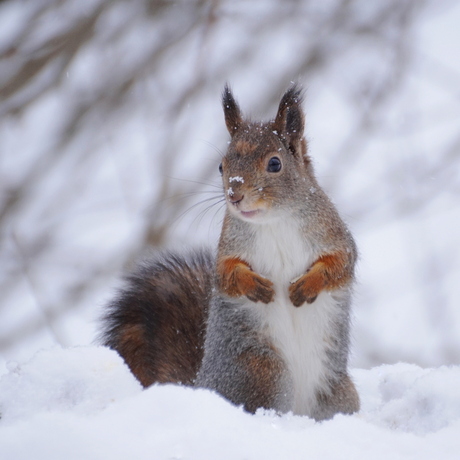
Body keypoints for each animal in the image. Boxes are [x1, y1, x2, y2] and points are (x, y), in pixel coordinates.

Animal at [99, 84, 360, 422]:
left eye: (274, 164)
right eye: (221, 166)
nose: (234, 195)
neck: (273, 221)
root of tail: (201, 386)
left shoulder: (335, 237)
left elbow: (341, 264)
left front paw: (307, 285)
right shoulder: (228, 247)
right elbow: (225, 274)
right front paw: (256, 286)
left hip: (339, 393)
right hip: (262, 371)